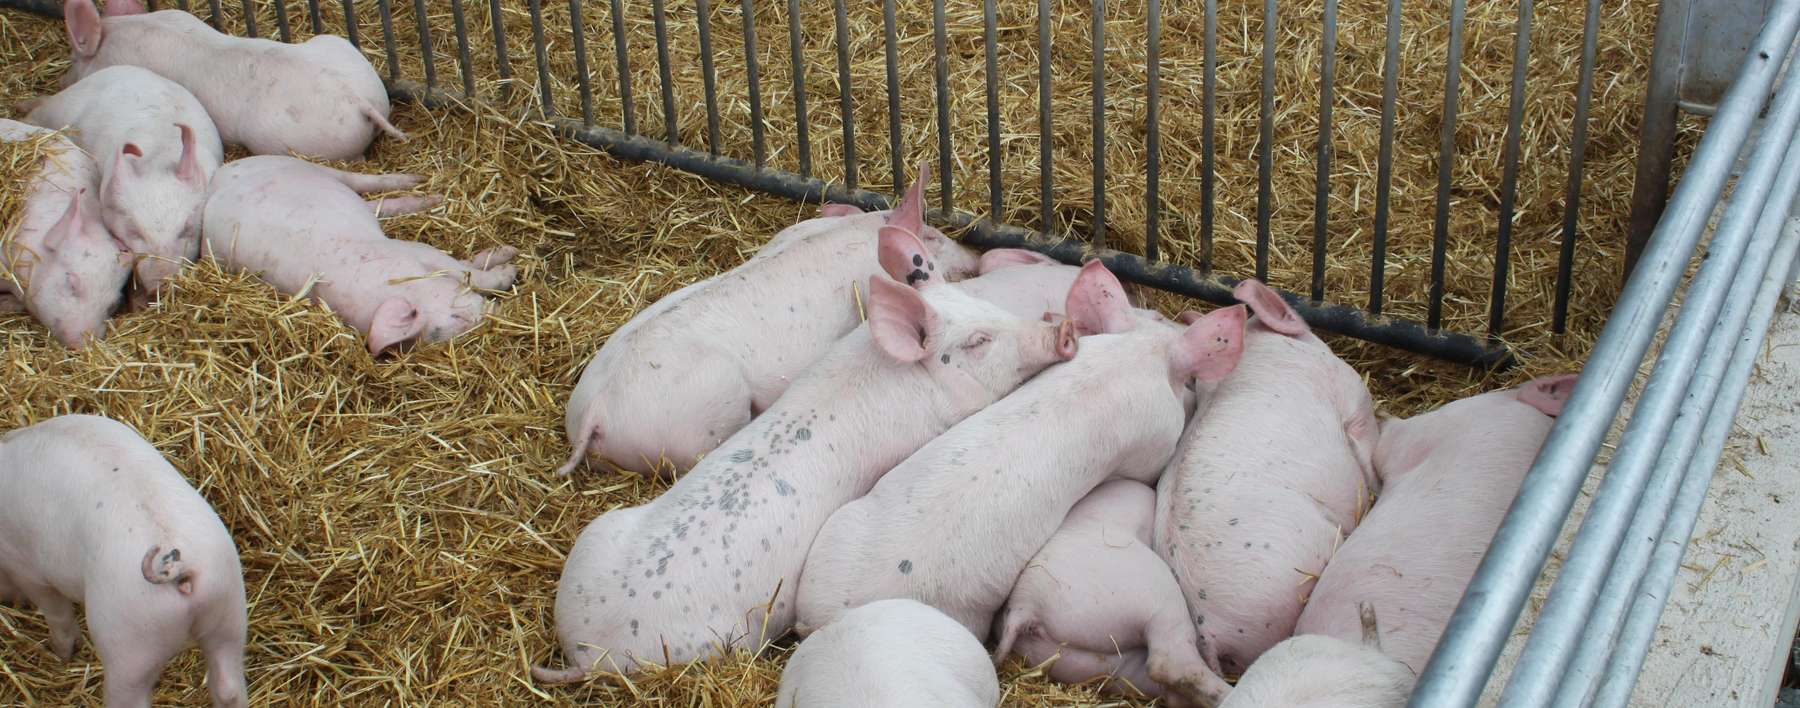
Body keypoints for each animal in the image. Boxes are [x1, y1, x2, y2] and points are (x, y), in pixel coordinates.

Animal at [0, 414, 247, 708]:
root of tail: (174, 566)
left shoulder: (26, 567)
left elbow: (56, 612)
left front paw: (62, 654)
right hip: (229, 610)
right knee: (229, 687)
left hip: (129, 643)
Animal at [201, 155, 514, 355]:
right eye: (457, 322)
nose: (498, 314)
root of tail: (219, 180)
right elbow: (470, 272)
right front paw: (512, 265)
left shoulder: (414, 250)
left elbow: (470, 273)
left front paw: (512, 258)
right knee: (378, 205)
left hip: (296, 163)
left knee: (362, 182)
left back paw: (421, 184)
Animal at [530, 230, 1076, 683]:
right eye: (979, 341)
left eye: (982, 302)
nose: (1061, 331)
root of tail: (588, 648)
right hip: (721, 641)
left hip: (599, 534)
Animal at [993, 479, 1230, 707]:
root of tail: (1025, 604)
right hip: (1152, 595)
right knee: (1168, 663)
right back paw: (1226, 692)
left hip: (1090, 663)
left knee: (1165, 688)